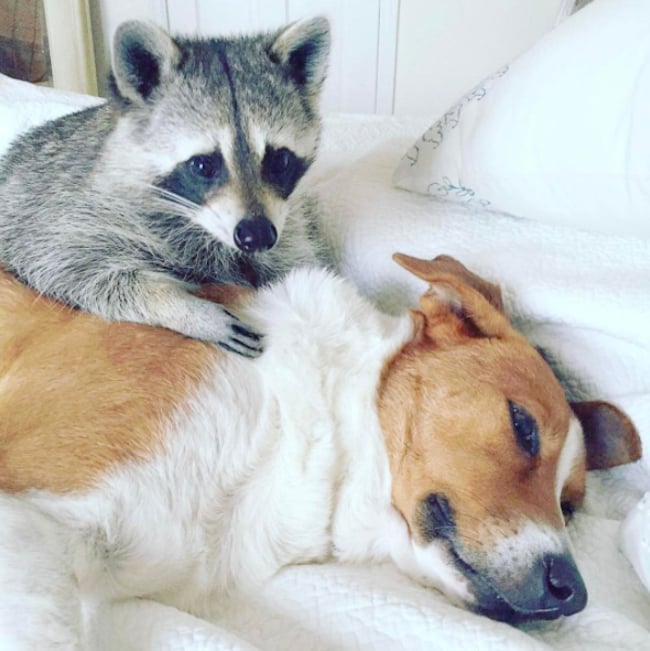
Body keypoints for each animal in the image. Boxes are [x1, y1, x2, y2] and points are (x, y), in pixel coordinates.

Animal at [0, 17, 331, 356]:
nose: (258, 235)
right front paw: (183, 309)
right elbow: (66, 266)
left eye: (280, 160)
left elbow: (304, 269)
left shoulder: (290, 226)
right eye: (203, 165)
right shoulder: (68, 212)